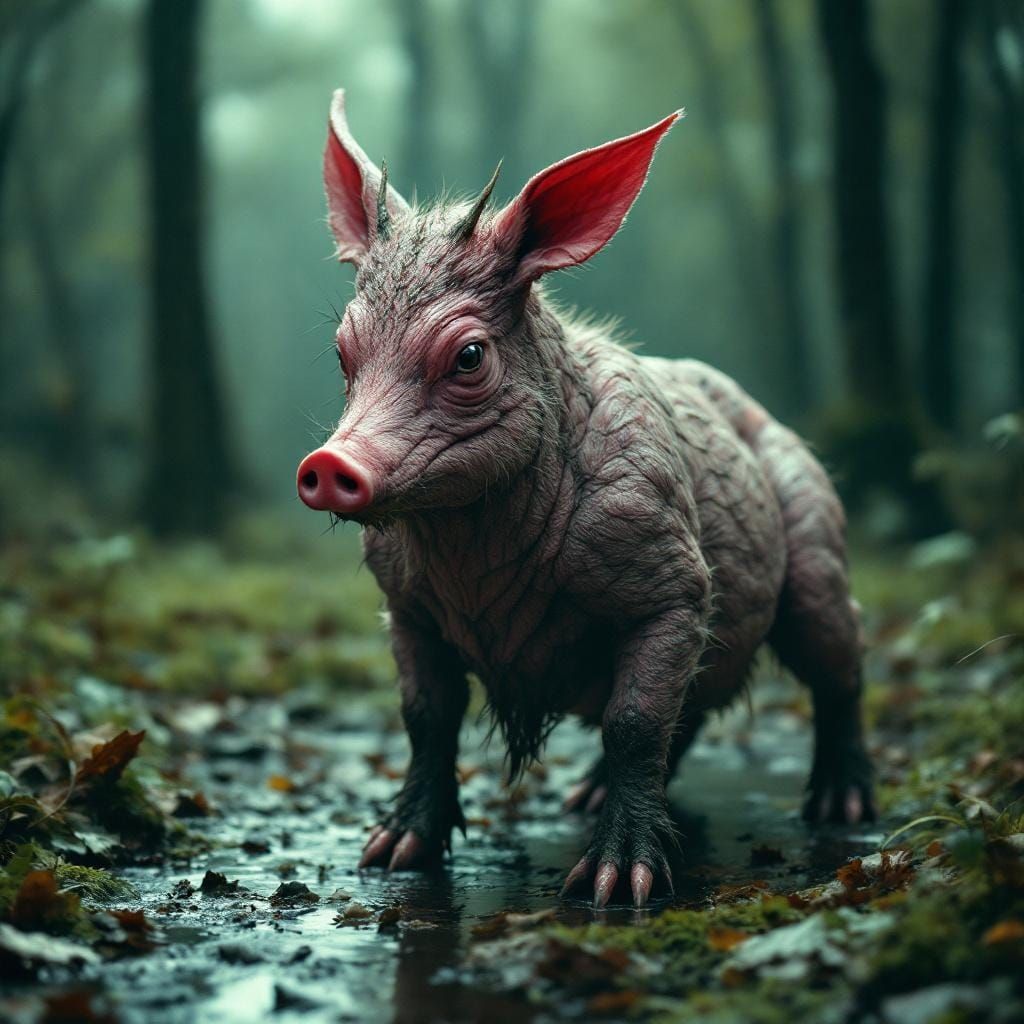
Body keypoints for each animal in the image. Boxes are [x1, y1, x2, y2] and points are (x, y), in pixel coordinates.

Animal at [296, 90, 874, 908]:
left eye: (469, 356)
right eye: (343, 353)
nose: (327, 463)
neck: (476, 559)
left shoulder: (673, 579)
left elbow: (634, 718)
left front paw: (616, 887)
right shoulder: (403, 604)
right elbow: (426, 717)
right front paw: (390, 853)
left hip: (816, 528)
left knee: (837, 658)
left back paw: (841, 806)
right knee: (692, 707)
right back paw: (585, 797)